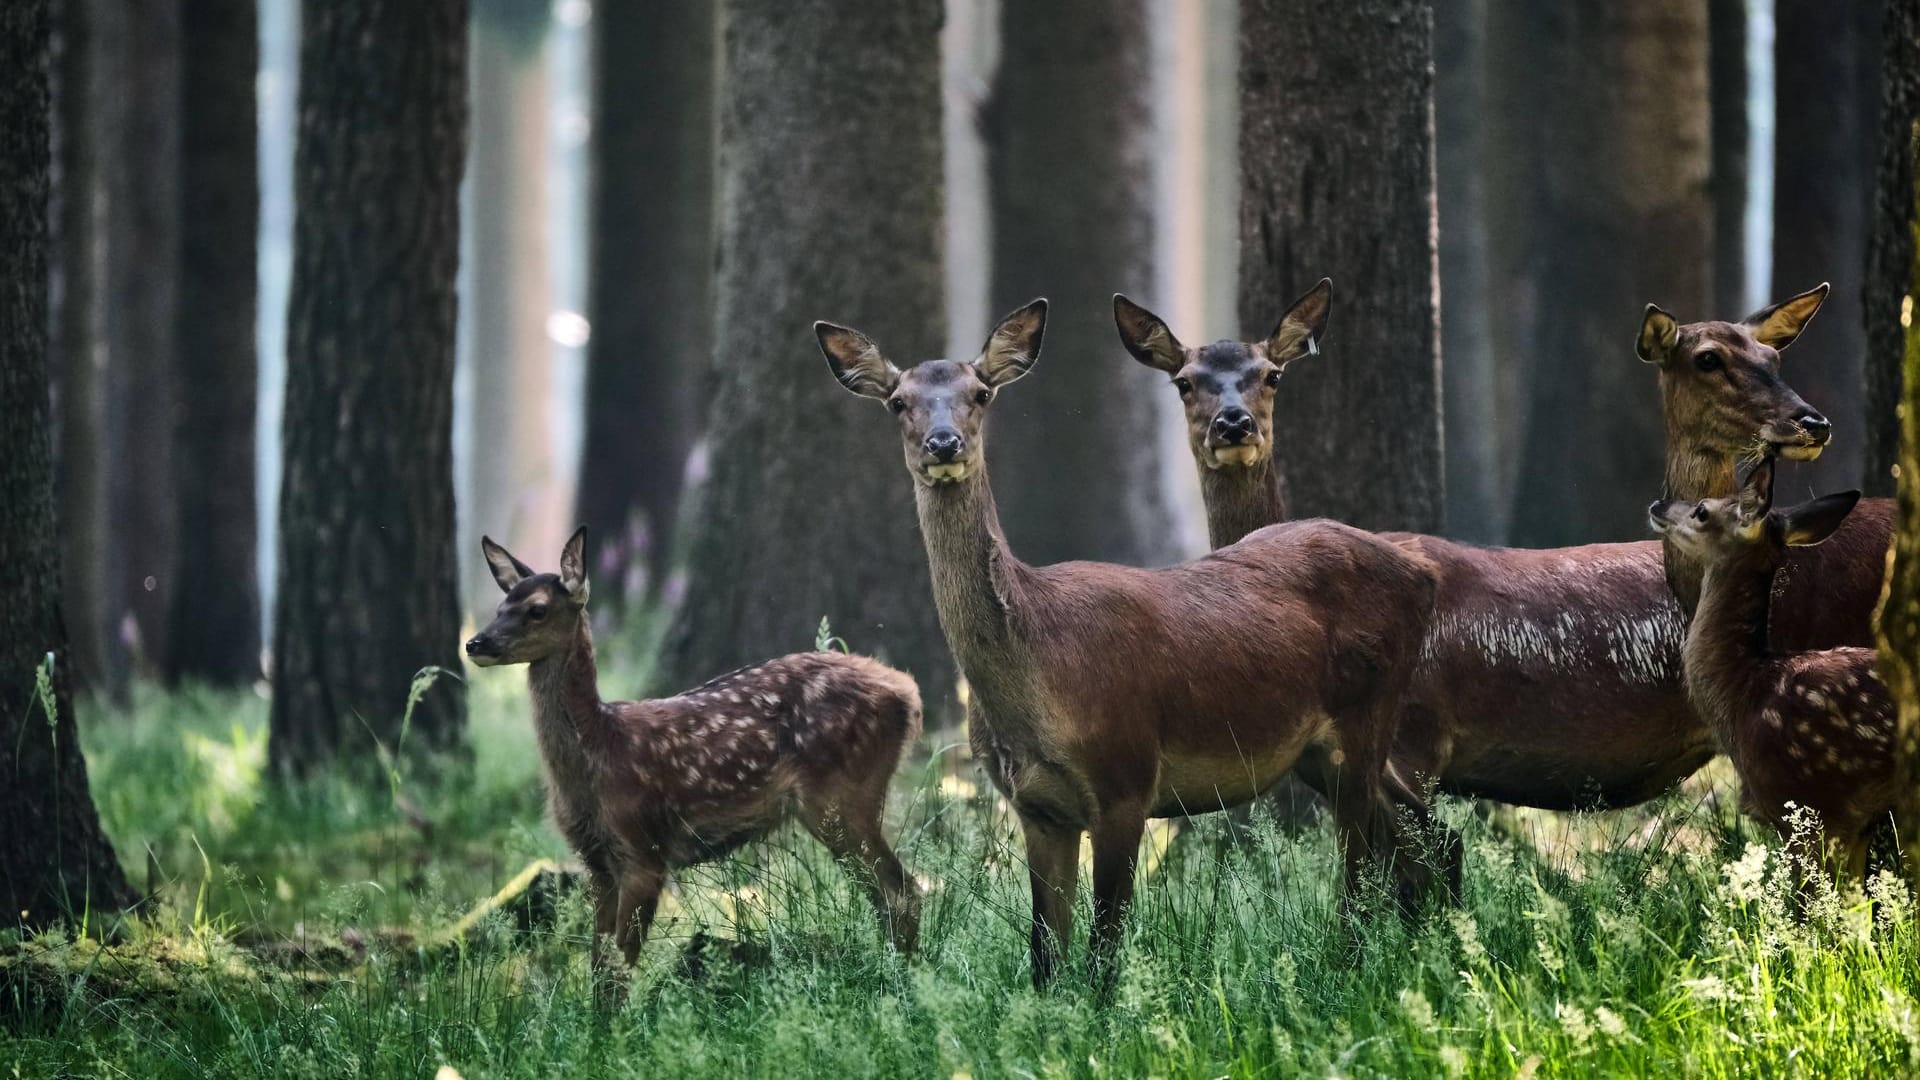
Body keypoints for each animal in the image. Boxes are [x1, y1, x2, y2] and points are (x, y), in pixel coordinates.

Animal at [460, 526, 917, 980]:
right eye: (501, 607)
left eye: (536, 609)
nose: (474, 643)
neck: (600, 748)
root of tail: (908, 692)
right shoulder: (597, 860)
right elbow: (600, 964)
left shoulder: (644, 848)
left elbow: (619, 966)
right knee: (891, 892)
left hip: (842, 794)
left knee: (901, 890)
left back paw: (906, 978)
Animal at [814, 295, 1443, 983]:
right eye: (898, 401)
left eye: (980, 393)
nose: (943, 441)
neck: (1037, 672)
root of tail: (1420, 574)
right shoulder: (1037, 808)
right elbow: (1044, 954)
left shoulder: (1126, 778)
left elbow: (1103, 954)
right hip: (1325, 749)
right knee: (1425, 832)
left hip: (1364, 717)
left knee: (1365, 868)